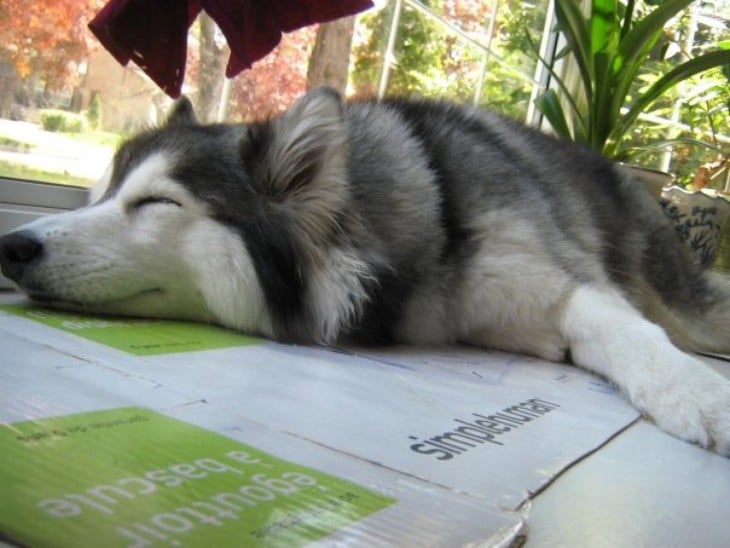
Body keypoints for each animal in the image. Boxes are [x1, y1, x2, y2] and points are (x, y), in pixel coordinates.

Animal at [1, 86, 728, 454]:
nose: (12, 245)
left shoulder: (572, 286)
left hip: (680, 297)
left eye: (157, 203)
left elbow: (632, 336)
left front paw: (695, 393)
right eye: (95, 197)